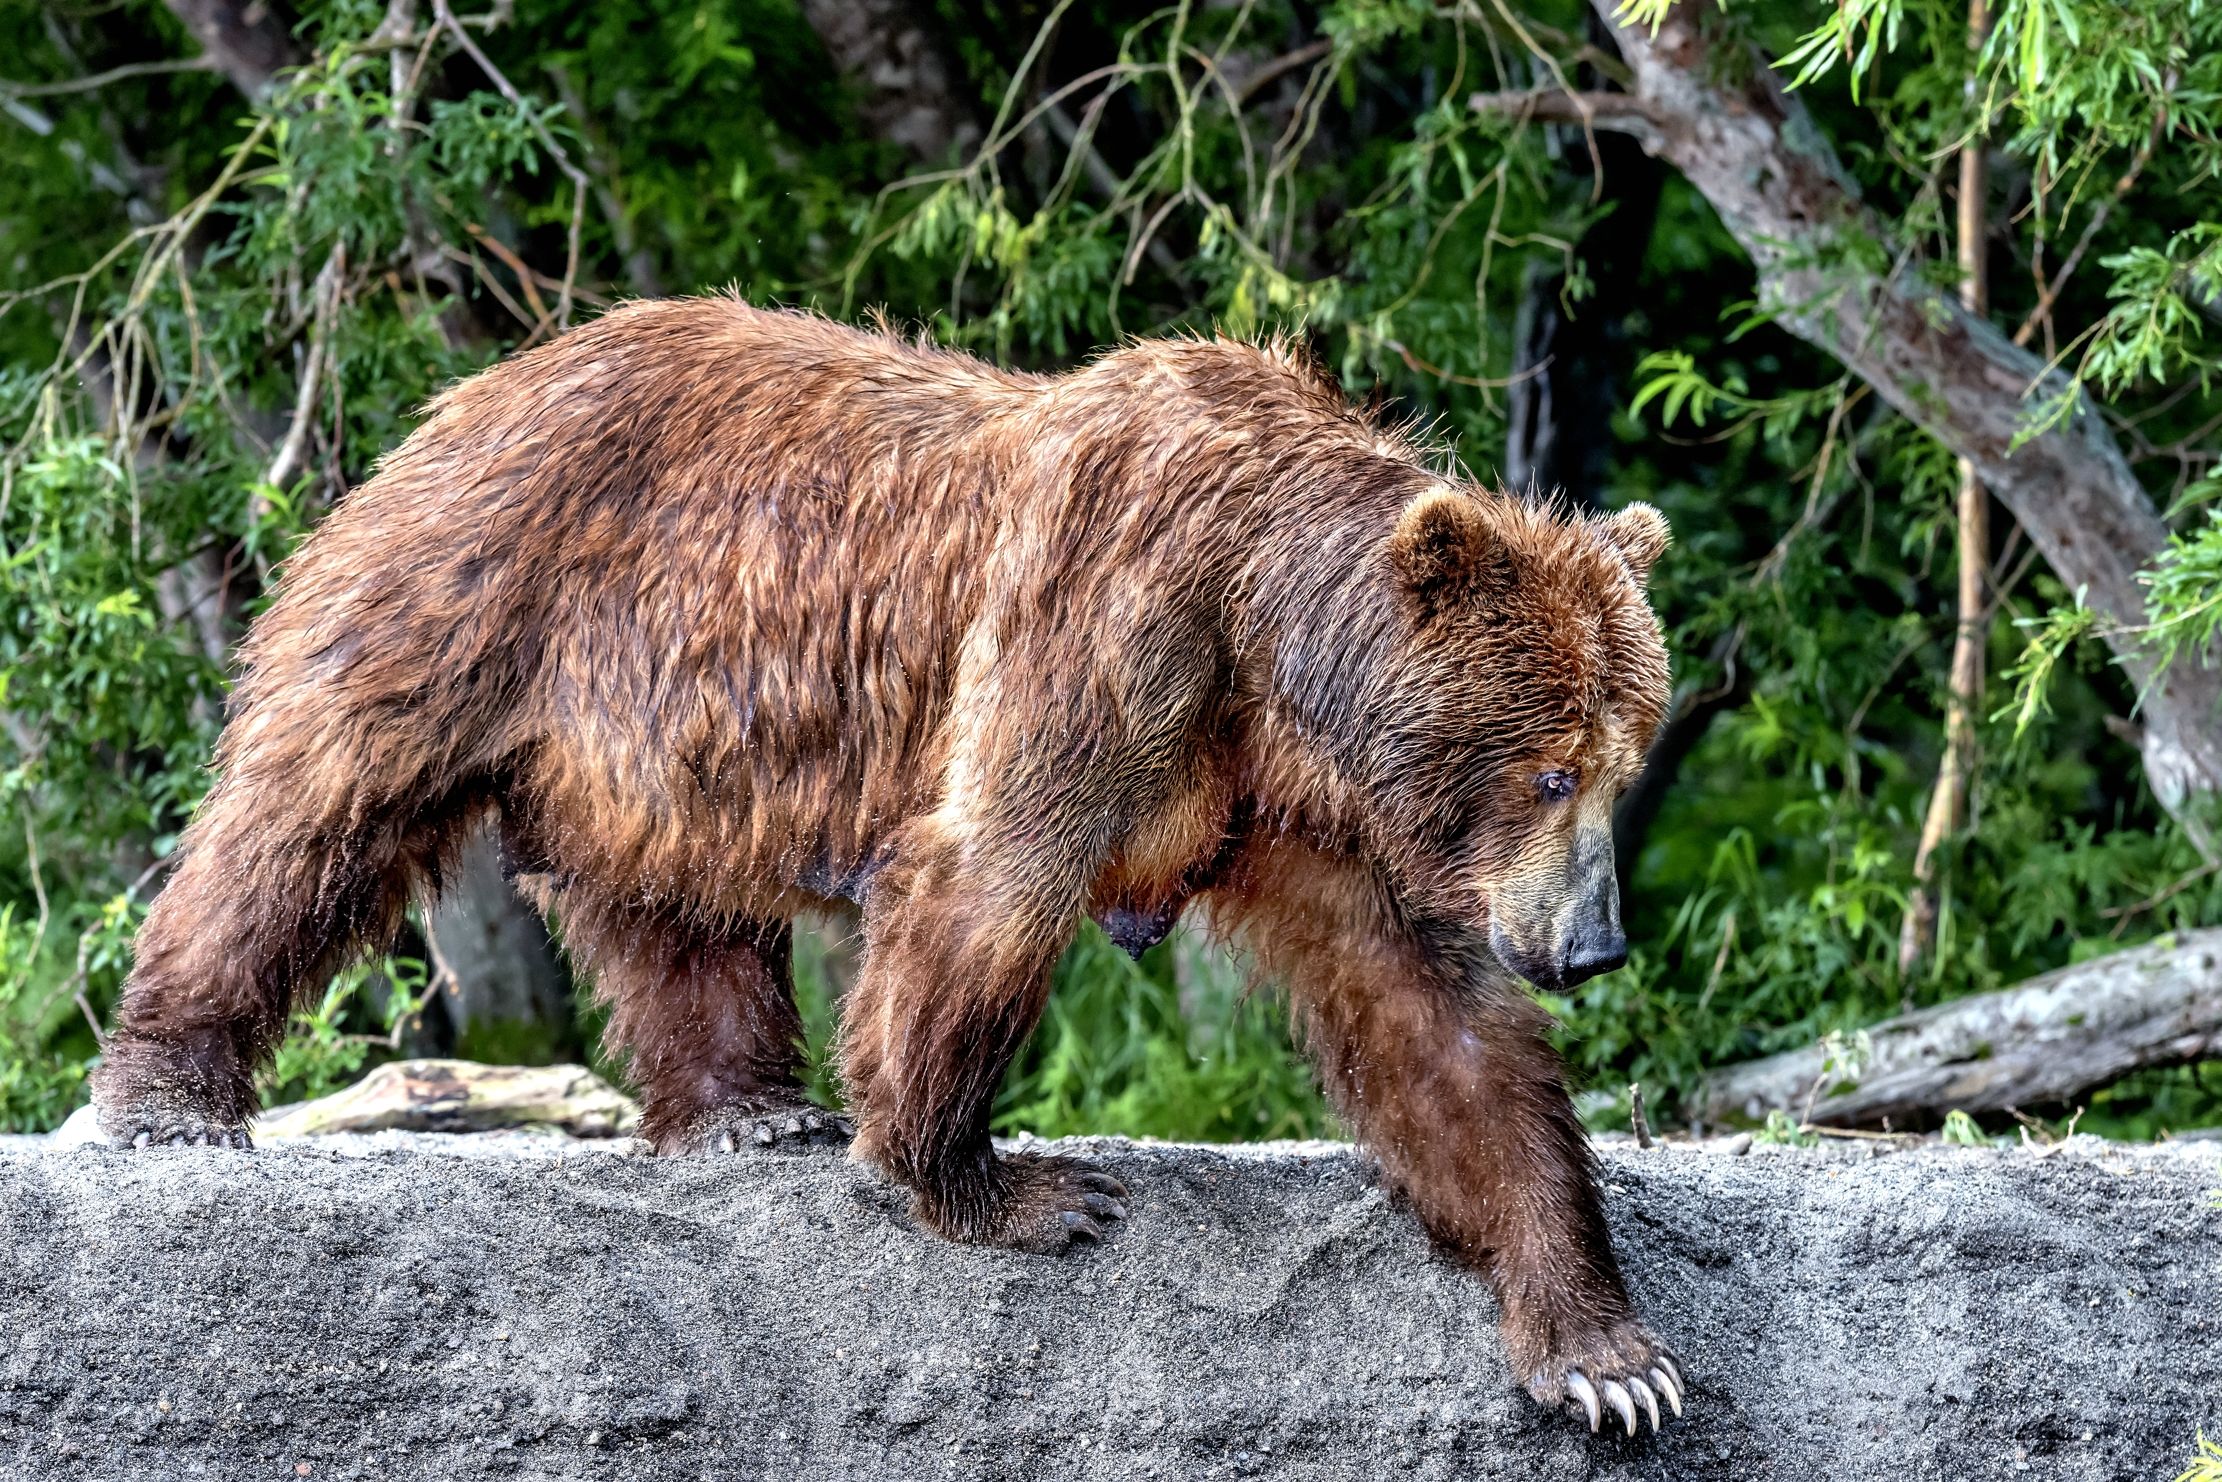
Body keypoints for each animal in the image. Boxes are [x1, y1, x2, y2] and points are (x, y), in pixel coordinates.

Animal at [92, 296, 1681, 1435]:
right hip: (479, 587)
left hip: (664, 742)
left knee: (678, 907)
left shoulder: (1299, 811)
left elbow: (1435, 1031)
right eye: (1547, 769)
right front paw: (1009, 1187)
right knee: (312, 812)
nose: (1592, 942)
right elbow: (987, 880)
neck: (1272, 646)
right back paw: (174, 1094)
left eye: (1620, 763)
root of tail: (480, 380)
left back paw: (747, 1110)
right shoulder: (1115, 624)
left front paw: (1604, 1355)